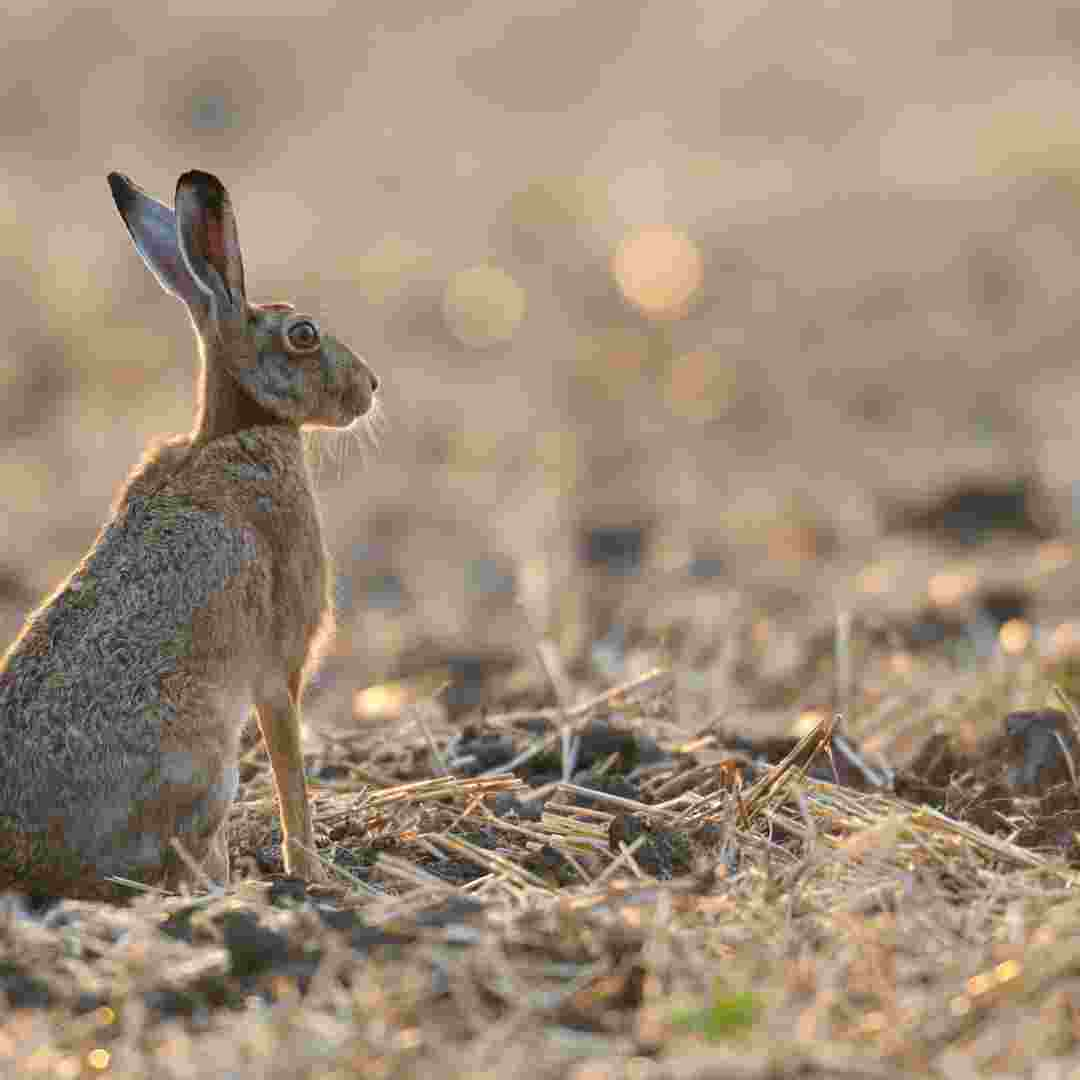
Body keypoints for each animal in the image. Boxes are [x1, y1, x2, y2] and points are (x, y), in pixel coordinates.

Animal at [0, 168, 380, 898]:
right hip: (205, 762)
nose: (370, 387)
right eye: (303, 334)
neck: (237, 431)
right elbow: (291, 776)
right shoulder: (279, 667)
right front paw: (310, 871)